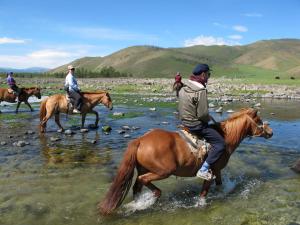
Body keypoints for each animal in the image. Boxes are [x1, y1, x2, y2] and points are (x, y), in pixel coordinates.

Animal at [99, 107, 274, 214]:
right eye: (259, 121)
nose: (271, 132)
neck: (225, 137)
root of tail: (141, 140)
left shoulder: (217, 171)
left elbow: (219, 185)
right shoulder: (212, 171)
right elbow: (204, 193)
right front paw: (201, 205)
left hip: (143, 168)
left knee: (137, 186)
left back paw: (139, 203)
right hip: (163, 171)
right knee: (144, 181)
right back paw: (151, 198)